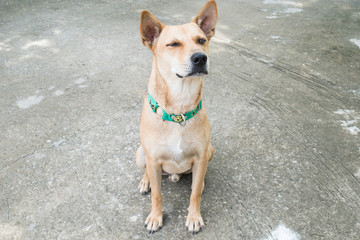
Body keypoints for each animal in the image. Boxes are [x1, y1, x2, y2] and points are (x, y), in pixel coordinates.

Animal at [136, 0, 218, 232]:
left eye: (201, 40)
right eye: (173, 44)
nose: (200, 57)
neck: (179, 109)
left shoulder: (200, 157)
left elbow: (195, 193)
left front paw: (194, 217)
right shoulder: (153, 159)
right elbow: (157, 195)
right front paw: (155, 217)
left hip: (210, 151)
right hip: (140, 154)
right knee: (147, 172)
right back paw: (145, 181)